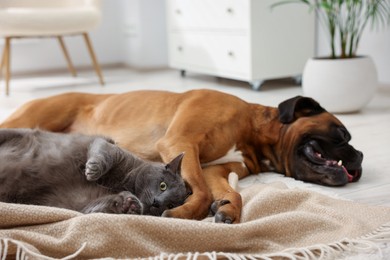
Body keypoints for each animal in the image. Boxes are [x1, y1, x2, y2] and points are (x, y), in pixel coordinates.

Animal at [0, 128, 189, 215]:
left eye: (171, 205)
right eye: (163, 185)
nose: (157, 202)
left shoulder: (77, 203)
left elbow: (94, 207)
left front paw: (129, 204)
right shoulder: (111, 147)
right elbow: (104, 153)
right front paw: (92, 170)